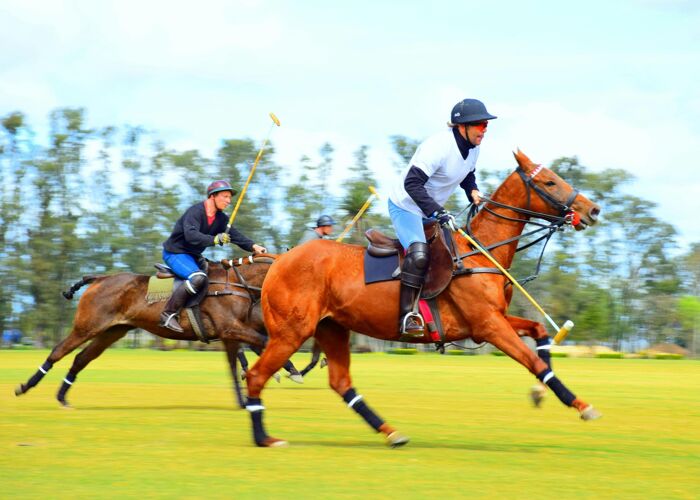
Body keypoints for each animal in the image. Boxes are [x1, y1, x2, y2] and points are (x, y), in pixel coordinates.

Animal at [13, 256, 276, 408]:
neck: (235, 285)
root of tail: (100, 277)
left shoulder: (231, 335)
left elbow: (237, 365)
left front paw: (246, 399)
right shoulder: (231, 329)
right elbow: (262, 346)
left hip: (112, 331)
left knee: (81, 358)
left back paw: (62, 396)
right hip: (87, 326)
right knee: (58, 351)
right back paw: (26, 387)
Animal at [245, 150, 600, 448]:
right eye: (549, 181)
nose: (592, 209)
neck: (479, 252)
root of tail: (279, 260)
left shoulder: (489, 320)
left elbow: (540, 333)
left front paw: (540, 394)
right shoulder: (488, 325)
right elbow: (534, 361)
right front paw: (584, 406)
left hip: (332, 328)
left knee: (341, 382)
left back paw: (391, 432)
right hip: (292, 331)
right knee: (257, 375)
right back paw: (264, 438)